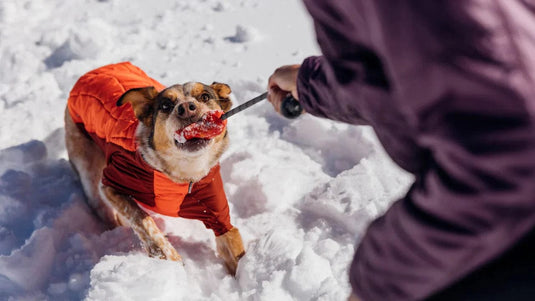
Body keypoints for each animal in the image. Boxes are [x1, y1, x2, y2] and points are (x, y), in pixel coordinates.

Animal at [63, 62, 245, 274]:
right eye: (166, 105)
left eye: (205, 97)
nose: (187, 108)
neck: (181, 175)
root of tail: (93, 71)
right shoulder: (112, 183)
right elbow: (143, 220)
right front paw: (170, 259)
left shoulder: (216, 213)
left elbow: (234, 246)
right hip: (85, 159)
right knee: (97, 203)